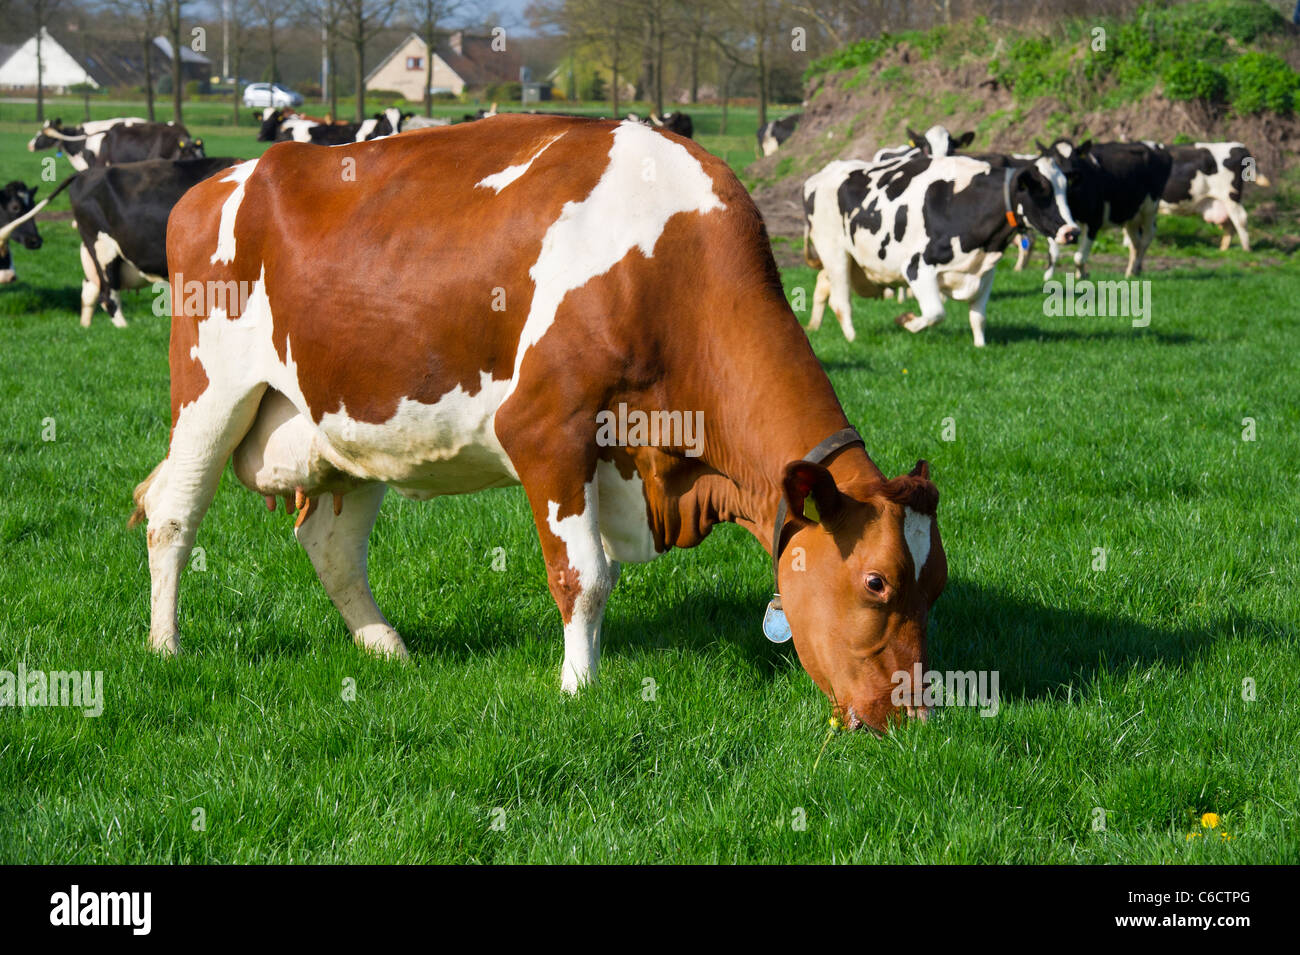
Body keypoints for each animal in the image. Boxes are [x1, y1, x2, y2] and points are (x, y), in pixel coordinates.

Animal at [41, 157, 243, 326]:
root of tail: (86, 173)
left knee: (90, 289)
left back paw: (86, 326)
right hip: (103, 248)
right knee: (108, 296)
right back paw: (124, 328)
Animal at [129, 114, 948, 734]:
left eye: (936, 585)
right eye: (876, 582)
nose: (910, 719)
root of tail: (222, 179)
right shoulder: (548, 431)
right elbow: (583, 574)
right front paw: (578, 686)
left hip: (348, 422)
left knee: (329, 544)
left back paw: (386, 647)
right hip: (209, 395)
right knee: (172, 514)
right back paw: (165, 647)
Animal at [803, 146, 1080, 346]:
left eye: (1065, 190)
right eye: (1041, 190)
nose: (1072, 232)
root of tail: (821, 174)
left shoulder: (986, 271)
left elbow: (978, 317)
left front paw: (980, 346)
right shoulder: (917, 266)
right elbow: (936, 313)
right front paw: (906, 321)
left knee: (822, 284)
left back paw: (812, 327)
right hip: (834, 251)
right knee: (840, 300)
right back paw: (853, 338)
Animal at [1014, 140, 1172, 280]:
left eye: (1074, 159)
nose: (1067, 172)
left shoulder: (1094, 221)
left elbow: (1079, 257)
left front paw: (1081, 275)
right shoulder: (1052, 221)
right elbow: (1054, 252)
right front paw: (1048, 276)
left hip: (1150, 208)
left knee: (1146, 238)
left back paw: (1137, 268)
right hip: (1131, 215)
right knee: (1135, 243)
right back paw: (1130, 273)